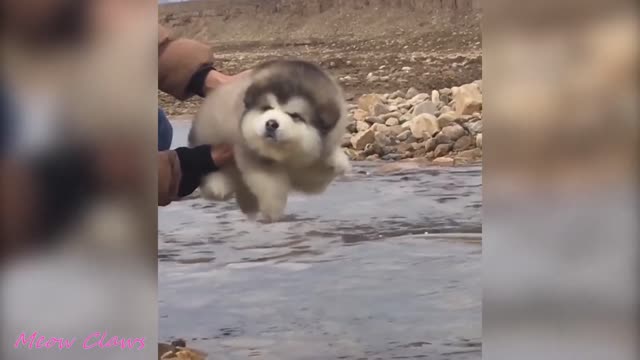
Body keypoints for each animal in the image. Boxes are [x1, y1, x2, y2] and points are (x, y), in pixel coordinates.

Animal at [188, 59, 352, 222]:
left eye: (295, 116)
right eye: (267, 107)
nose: (271, 124)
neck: (283, 153)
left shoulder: (310, 162)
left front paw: (338, 161)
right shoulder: (249, 151)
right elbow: (270, 184)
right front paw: (273, 211)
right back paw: (218, 185)